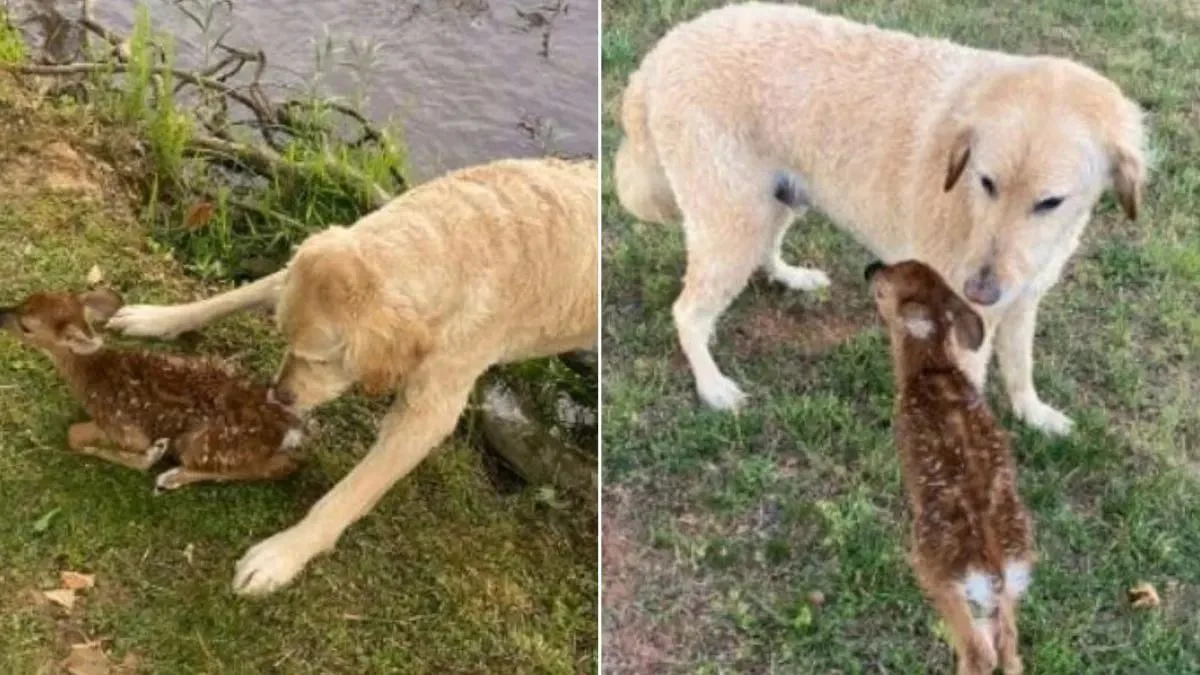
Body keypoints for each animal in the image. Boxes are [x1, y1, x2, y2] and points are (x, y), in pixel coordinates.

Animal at [105, 157, 597, 593]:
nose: (279, 395)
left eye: (324, 360)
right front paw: (157, 318)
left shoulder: (427, 412)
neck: (454, 241)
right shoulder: (294, 272)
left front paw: (281, 556)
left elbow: (349, 494)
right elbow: (232, 296)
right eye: (284, 337)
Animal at [614, 1, 1147, 437]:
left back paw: (791, 277)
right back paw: (712, 386)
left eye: (1050, 202)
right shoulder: (963, 327)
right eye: (986, 182)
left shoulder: (1022, 301)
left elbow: (1020, 368)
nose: (979, 291)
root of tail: (662, 51)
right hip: (735, 219)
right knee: (687, 312)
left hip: (777, 199)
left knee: (763, 251)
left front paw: (1033, 414)